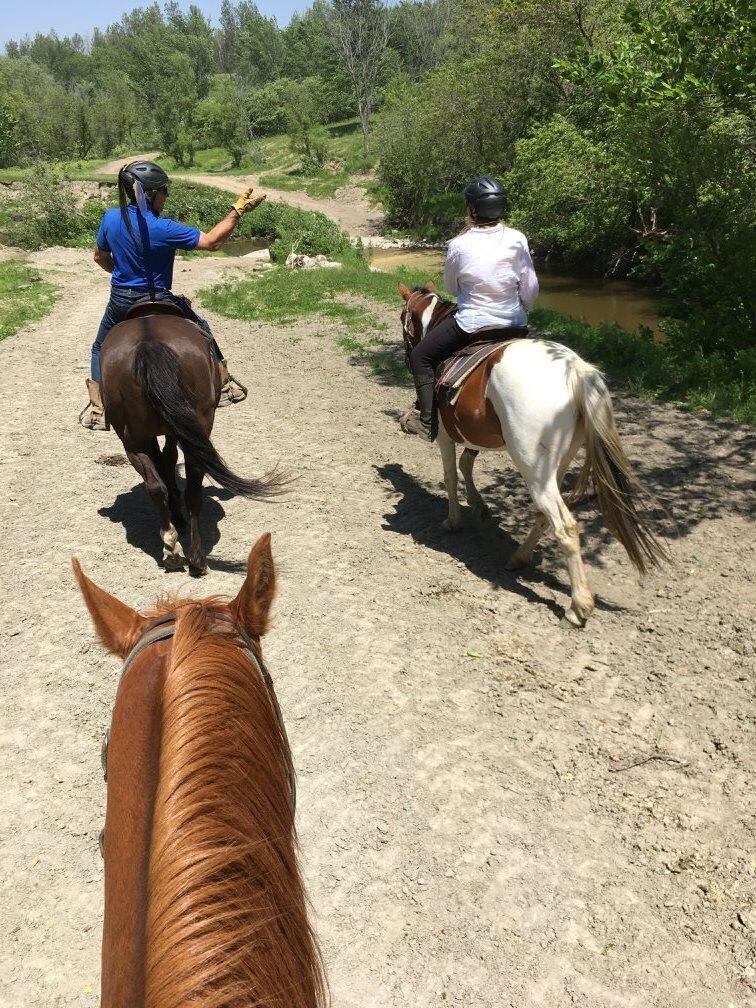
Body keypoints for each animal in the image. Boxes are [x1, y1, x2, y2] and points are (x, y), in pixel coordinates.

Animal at [97, 302, 282, 576]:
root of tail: (149, 342)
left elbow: (165, 461)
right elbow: (168, 460)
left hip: (136, 442)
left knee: (158, 487)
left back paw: (174, 552)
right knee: (191, 490)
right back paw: (194, 557)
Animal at [399, 282, 665, 620]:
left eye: (404, 319)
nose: (407, 358)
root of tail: (576, 370)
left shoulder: (446, 436)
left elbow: (450, 474)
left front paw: (453, 521)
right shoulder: (472, 434)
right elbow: (466, 465)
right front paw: (480, 506)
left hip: (533, 468)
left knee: (564, 526)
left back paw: (578, 606)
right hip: (554, 465)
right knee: (544, 514)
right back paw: (519, 558)